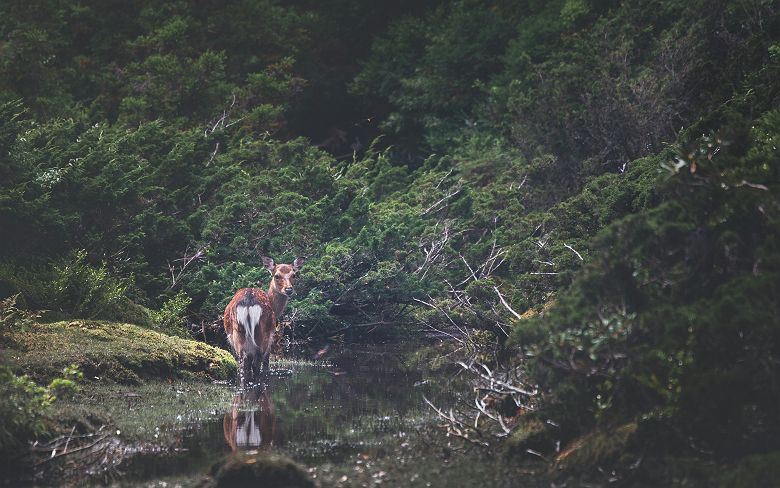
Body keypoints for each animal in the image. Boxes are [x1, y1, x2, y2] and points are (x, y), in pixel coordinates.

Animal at [222, 258, 304, 386]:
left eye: (294, 275)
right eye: (276, 276)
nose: (289, 289)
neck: (274, 307)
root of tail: (248, 301)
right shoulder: (271, 338)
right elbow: (266, 364)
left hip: (238, 334)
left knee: (243, 364)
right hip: (263, 335)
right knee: (257, 364)